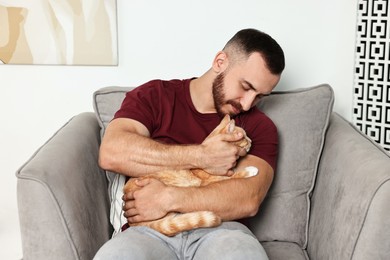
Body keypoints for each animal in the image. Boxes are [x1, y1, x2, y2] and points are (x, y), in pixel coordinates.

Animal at [123, 115, 258, 237]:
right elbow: (234, 175)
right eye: (244, 136)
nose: (251, 141)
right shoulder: (210, 179)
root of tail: (134, 224)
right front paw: (250, 170)